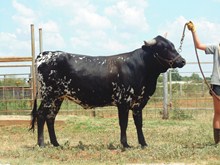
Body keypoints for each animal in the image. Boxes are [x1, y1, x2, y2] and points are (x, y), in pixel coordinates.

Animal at [30, 35, 185, 148]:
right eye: (163, 47)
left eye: (173, 46)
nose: (182, 61)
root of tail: (45, 54)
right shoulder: (123, 101)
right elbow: (124, 123)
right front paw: (125, 144)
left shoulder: (138, 103)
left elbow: (139, 123)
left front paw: (143, 144)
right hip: (48, 95)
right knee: (41, 115)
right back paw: (41, 144)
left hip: (58, 98)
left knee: (51, 117)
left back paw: (56, 144)